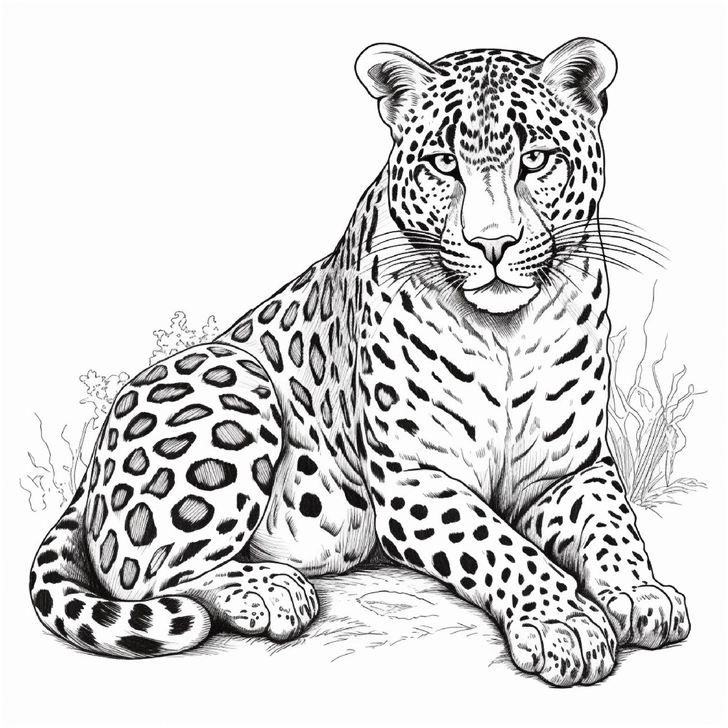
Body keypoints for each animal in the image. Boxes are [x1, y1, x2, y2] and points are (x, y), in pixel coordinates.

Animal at [29, 37, 690, 687]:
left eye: (536, 159)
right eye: (443, 164)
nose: (493, 244)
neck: (505, 332)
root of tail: (89, 474)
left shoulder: (570, 469)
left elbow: (611, 527)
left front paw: (641, 594)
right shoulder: (412, 477)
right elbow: (499, 546)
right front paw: (562, 623)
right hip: (232, 381)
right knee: (137, 574)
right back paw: (271, 591)